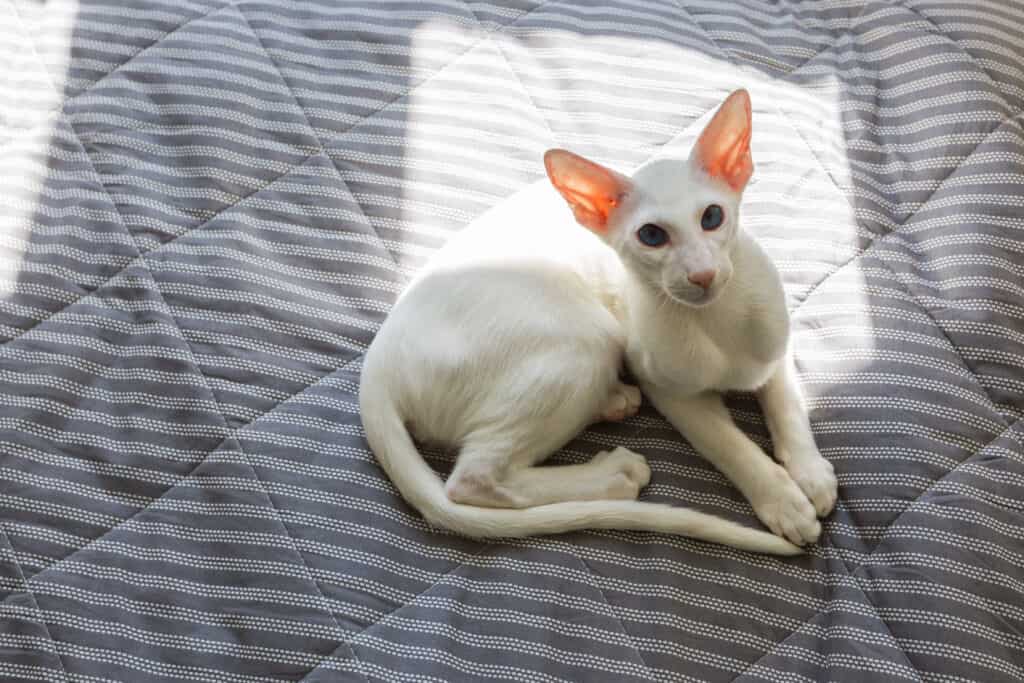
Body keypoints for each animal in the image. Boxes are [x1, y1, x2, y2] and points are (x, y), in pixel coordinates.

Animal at [360, 89, 839, 557]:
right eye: (652, 236)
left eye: (712, 217)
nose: (702, 276)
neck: (717, 321)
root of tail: (376, 364)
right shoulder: (670, 391)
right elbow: (731, 445)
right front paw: (783, 501)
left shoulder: (777, 345)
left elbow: (788, 406)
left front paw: (810, 474)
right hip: (585, 336)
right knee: (474, 478)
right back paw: (613, 473)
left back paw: (614, 401)